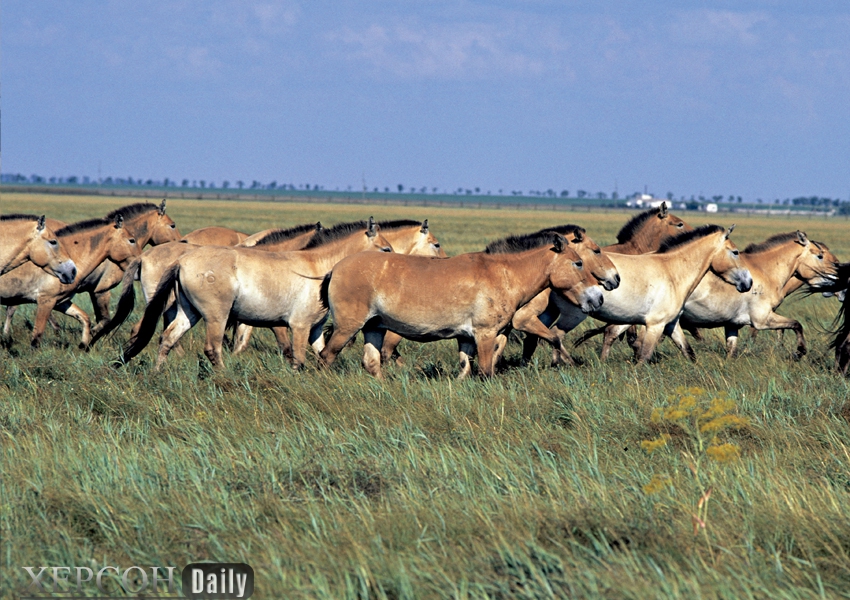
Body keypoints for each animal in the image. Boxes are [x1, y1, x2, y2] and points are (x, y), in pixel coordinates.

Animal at [0, 214, 139, 346]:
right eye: (132, 240)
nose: (139, 267)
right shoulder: (46, 301)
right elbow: (36, 337)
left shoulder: (61, 302)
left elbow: (85, 318)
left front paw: (83, 345)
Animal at [117, 218, 392, 370]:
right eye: (386, 249)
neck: (317, 268)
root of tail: (181, 261)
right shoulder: (298, 326)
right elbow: (298, 358)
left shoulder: (313, 329)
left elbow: (321, 354)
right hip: (215, 317)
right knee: (212, 349)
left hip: (188, 313)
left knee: (167, 339)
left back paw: (157, 372)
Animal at [318, 230, 604, 380]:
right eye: (578, 263)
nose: (598, 297)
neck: (505, 275)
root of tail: (335, 269)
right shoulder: (485, 334)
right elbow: (486, 371)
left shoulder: (467, 338)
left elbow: (466, 368)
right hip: (348, 327)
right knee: (326, 356)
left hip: (374, 327)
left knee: (372, 362)